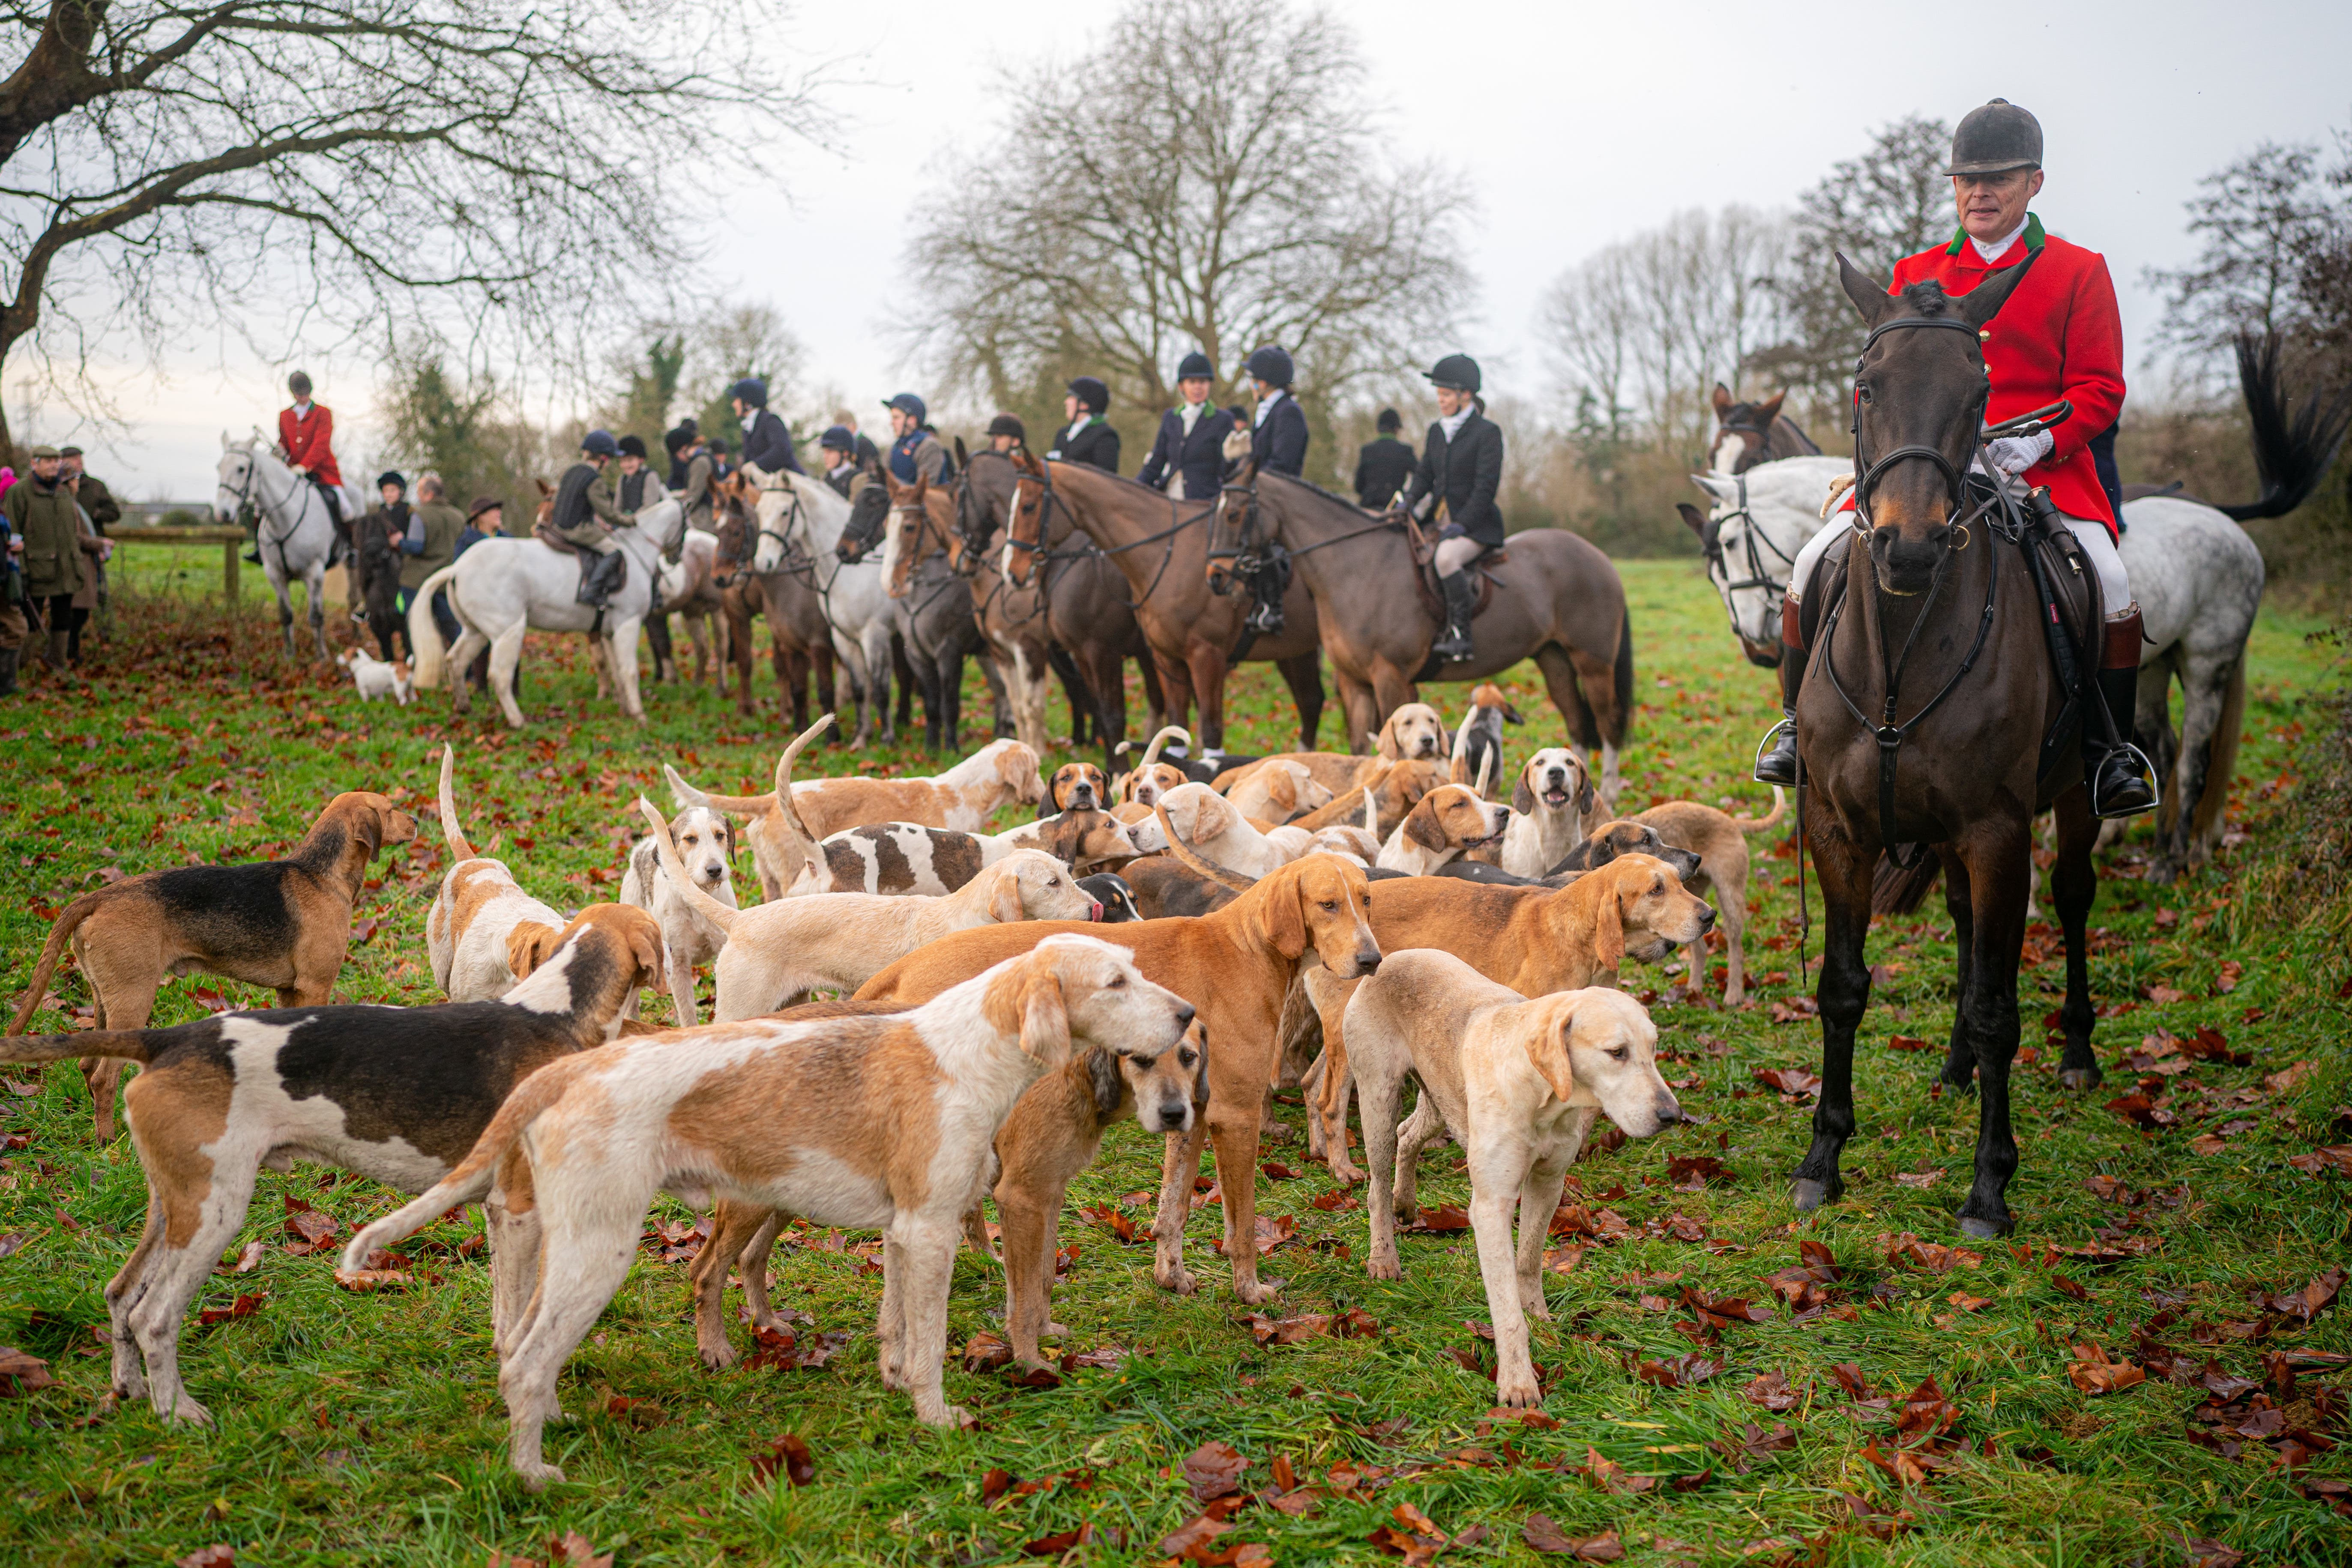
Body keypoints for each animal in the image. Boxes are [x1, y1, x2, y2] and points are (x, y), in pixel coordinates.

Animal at [1213, 461, 1637, 790]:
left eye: (1233, 514)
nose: (1216, 578)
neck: (1358, 569)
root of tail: (1599, 557)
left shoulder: (1392, 678)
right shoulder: (1354, 682)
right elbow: (1362, 749)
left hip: (1594, 664)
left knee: (1608, 726)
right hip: (1554, 660)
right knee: (1577, 723)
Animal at [1787, 255, 2107, 1241]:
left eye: (1981, 394)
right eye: (1867, 386)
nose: (1912, 546)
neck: (1901, 646)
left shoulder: (1998, 832)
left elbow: (2003, 1006)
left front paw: (1990, 1187)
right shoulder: (1838, 828)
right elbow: (1843, 986)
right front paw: (1823, 1158)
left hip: (2074, 800)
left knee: (2072, 899)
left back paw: (2078, 1053)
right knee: (1969, 926)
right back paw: (1958, 1067)